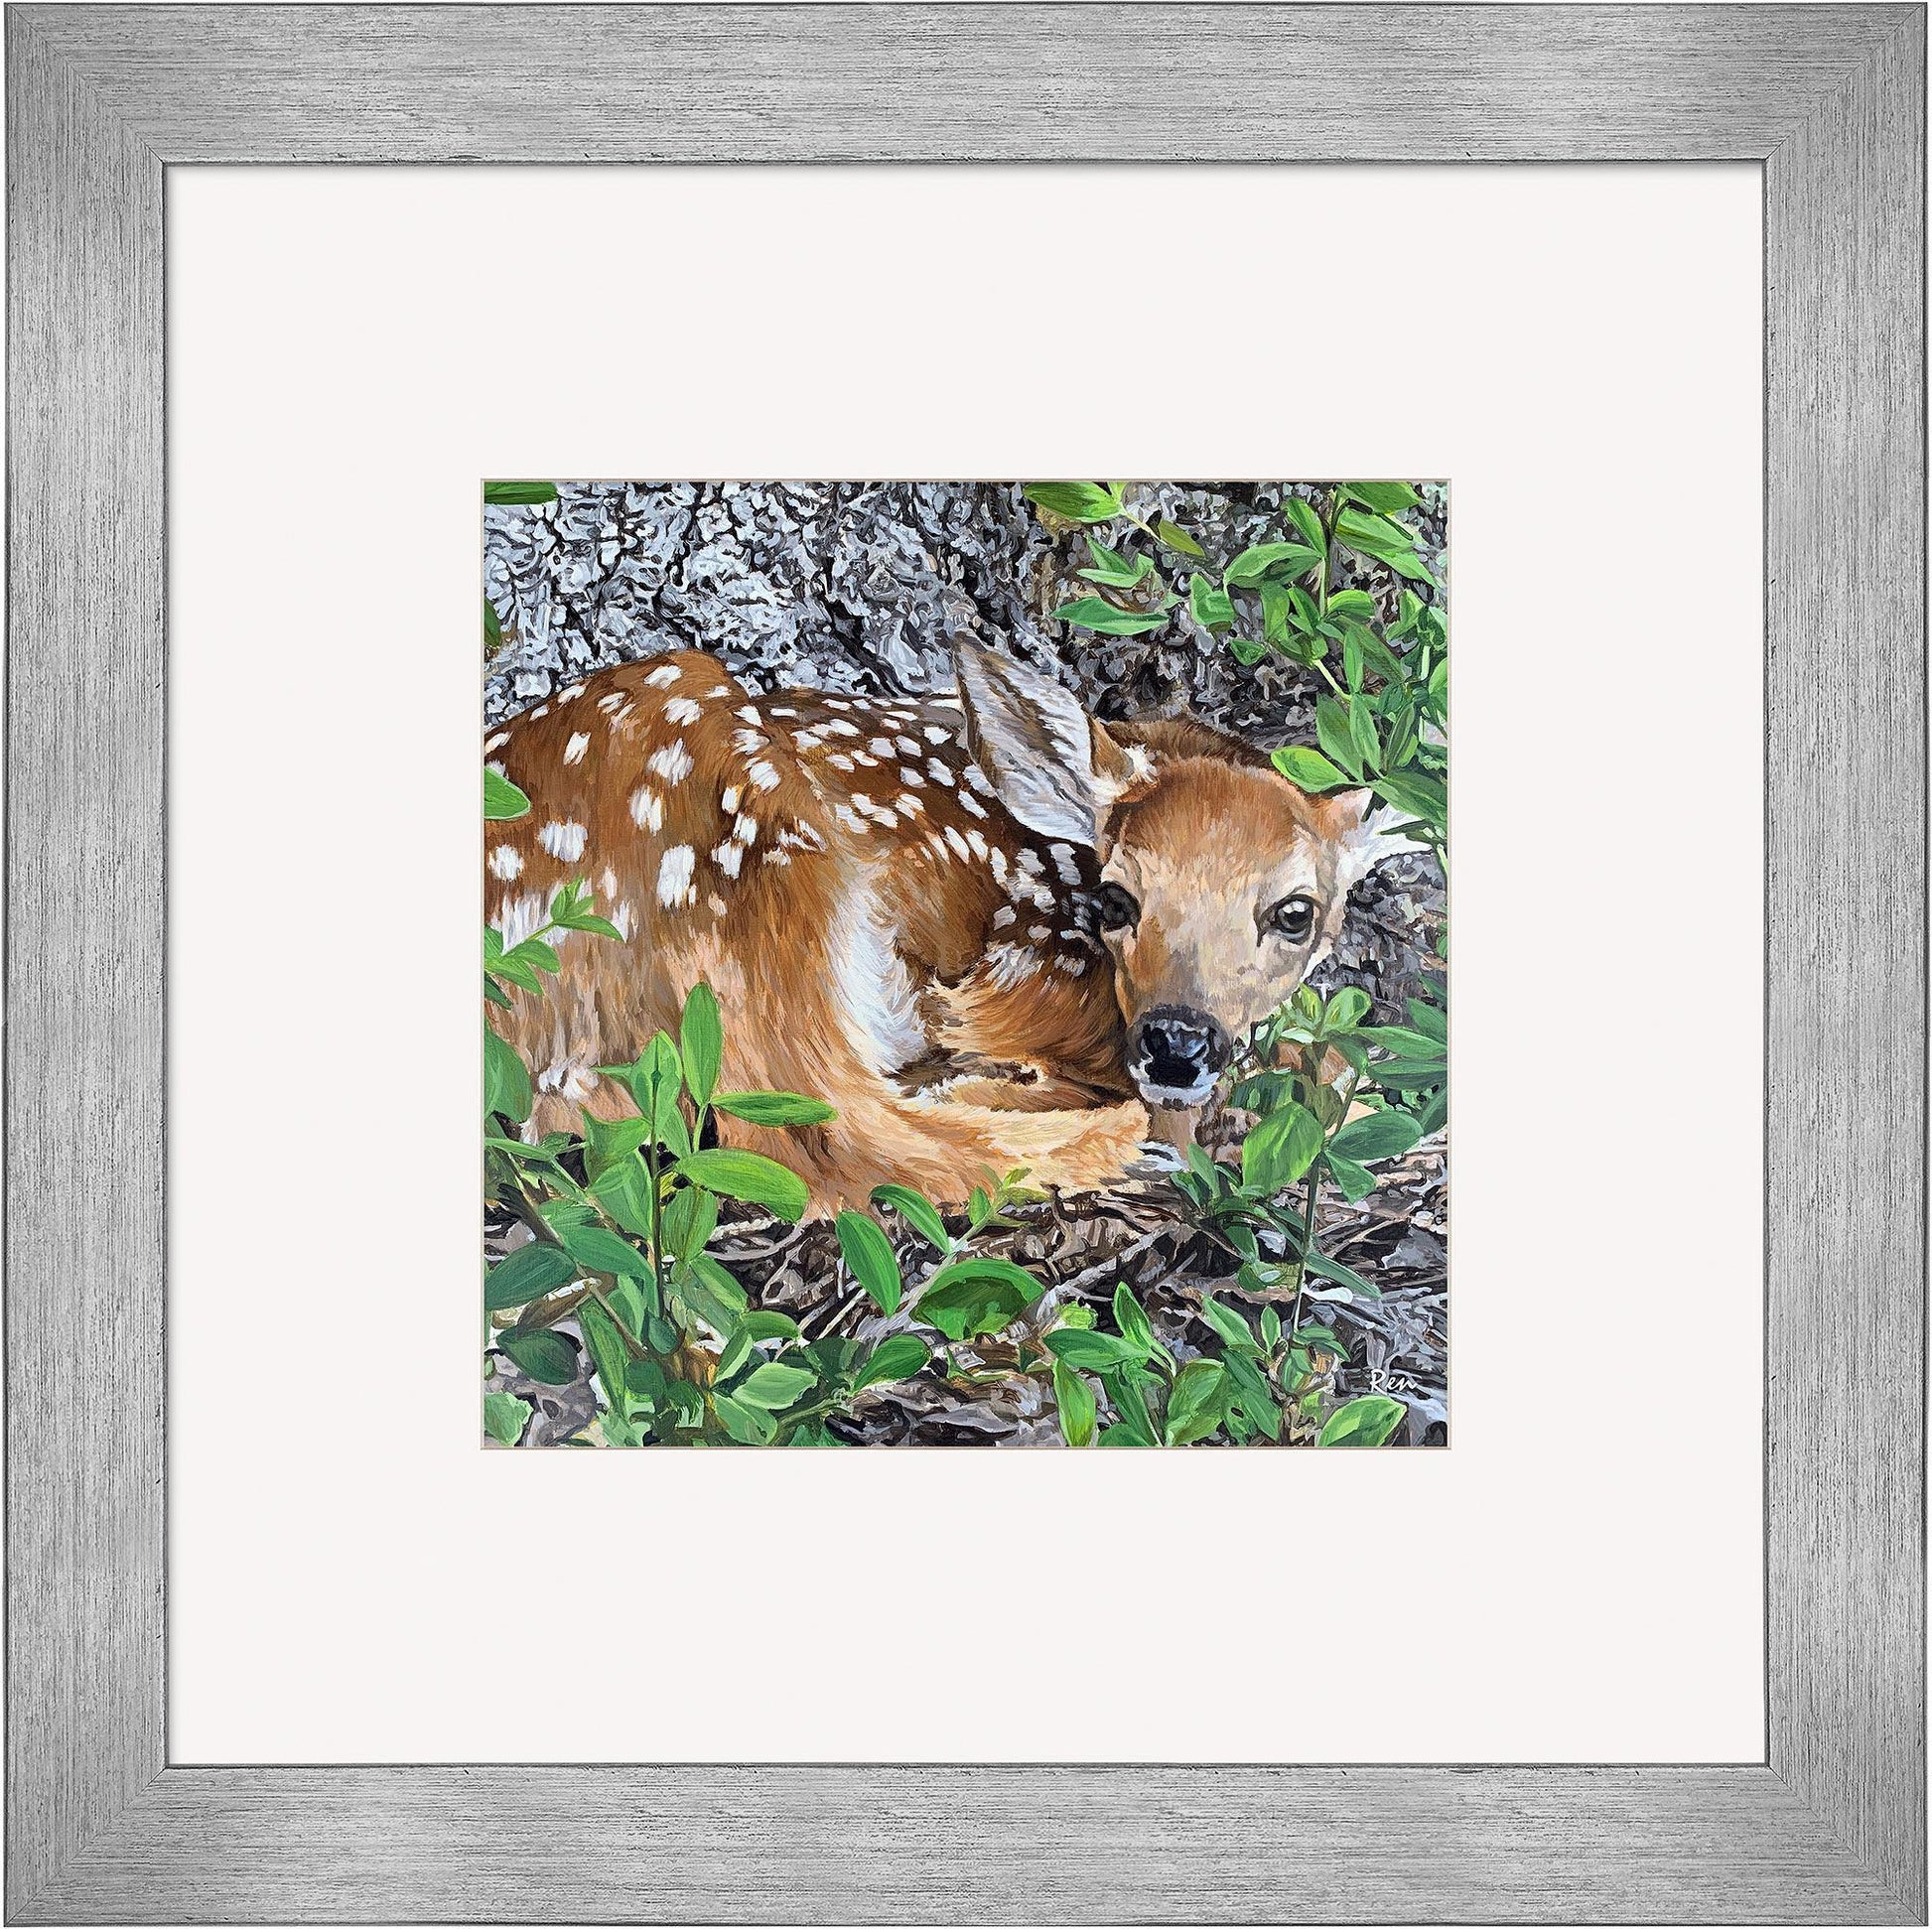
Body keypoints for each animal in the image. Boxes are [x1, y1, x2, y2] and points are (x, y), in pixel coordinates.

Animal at [484, 640, 1419, 1213]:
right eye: (1118, 899)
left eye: (1294, 913)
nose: (1175, 1043)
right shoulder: (1011, 974)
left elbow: (1337, 1060)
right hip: (746, 861)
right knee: (826, 1138)